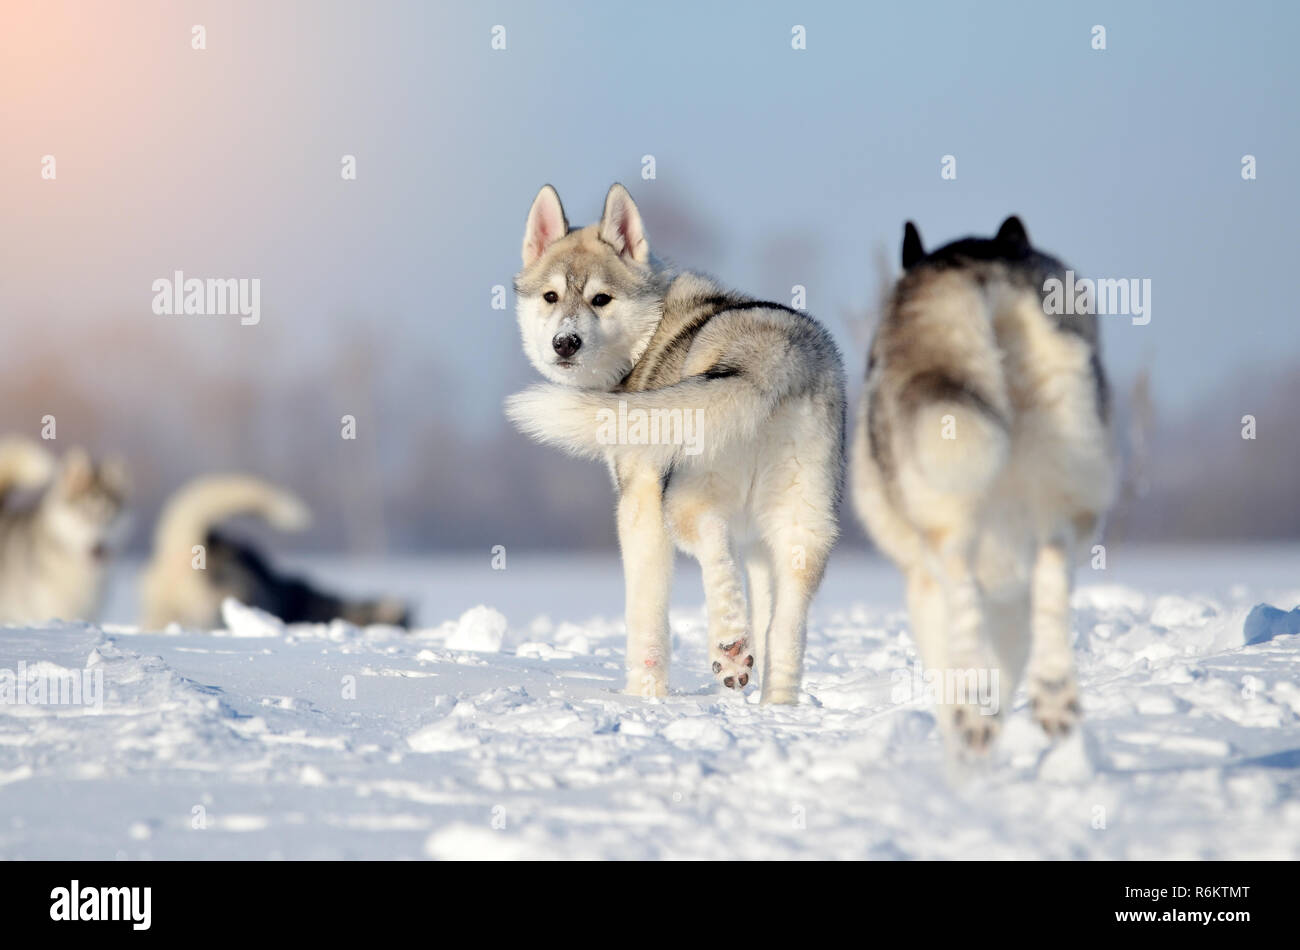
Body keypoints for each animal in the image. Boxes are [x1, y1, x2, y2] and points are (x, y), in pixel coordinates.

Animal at [501, 185, 847, 706]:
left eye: (601, 299)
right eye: (551, 296)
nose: (565, 342)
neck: (648, 337)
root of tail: (772, 354)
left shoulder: (638, 505)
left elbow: (646, 619)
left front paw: (643, 696)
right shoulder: (763, 544)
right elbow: (769, 612)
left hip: (681, 498)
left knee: (712, 541)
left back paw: (729, 645)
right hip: (804, 524)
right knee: (786, 629)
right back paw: (776, 704)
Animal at [852, 215, 1118, 748]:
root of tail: (977, 273)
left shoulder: (926, 587)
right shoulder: (1014, 594)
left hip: (946, 522)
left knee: (961, 587)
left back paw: (973, 711)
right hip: (1065, 486)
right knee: (1051, 571)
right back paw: (1053, 693)